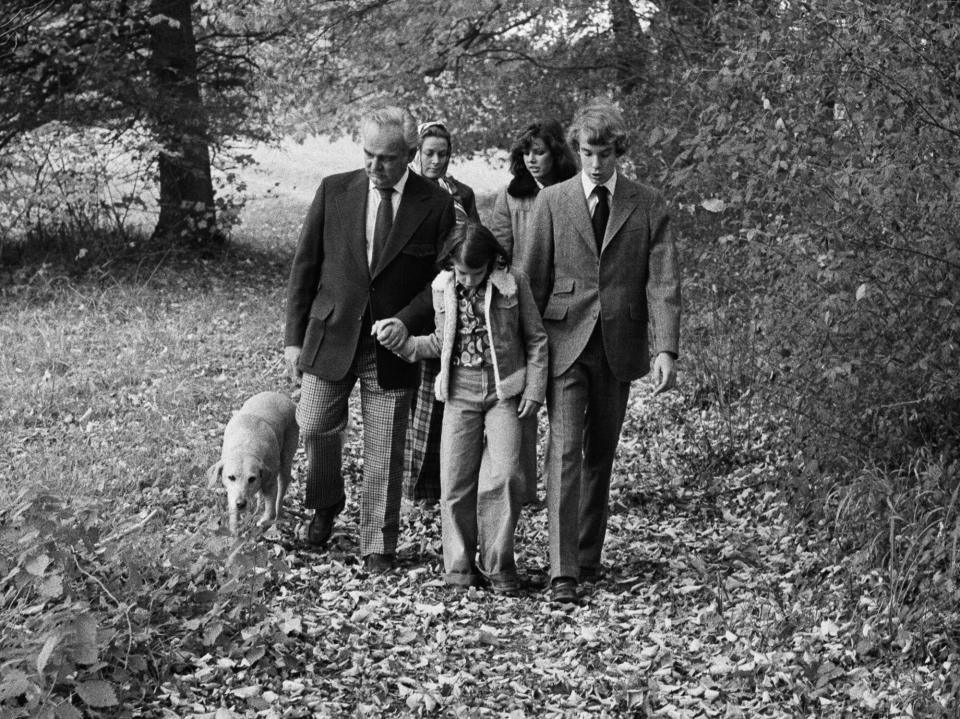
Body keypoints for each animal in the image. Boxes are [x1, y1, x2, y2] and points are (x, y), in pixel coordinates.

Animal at [207, 394, 298, 536]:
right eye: (231, 477)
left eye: (251, 479)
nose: (240, 504)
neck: (245, 447)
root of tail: (282, 396)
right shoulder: (232, 493)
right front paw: (235, 531)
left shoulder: (270, 484)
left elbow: (270, 511)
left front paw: (263, 522)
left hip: (285, 463)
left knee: (279, 499)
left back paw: (275, 524)